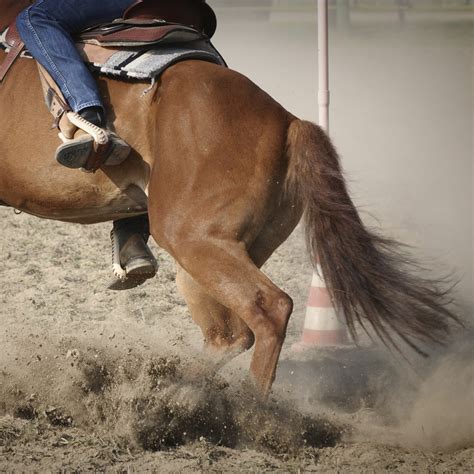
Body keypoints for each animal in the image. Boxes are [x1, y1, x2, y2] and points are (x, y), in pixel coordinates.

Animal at [0, 50, 460, 394]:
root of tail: (289, 122)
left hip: (194, 240)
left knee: (270, 309)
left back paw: (250, 413)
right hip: (212, 255)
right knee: (231, 335)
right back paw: (178, 396)